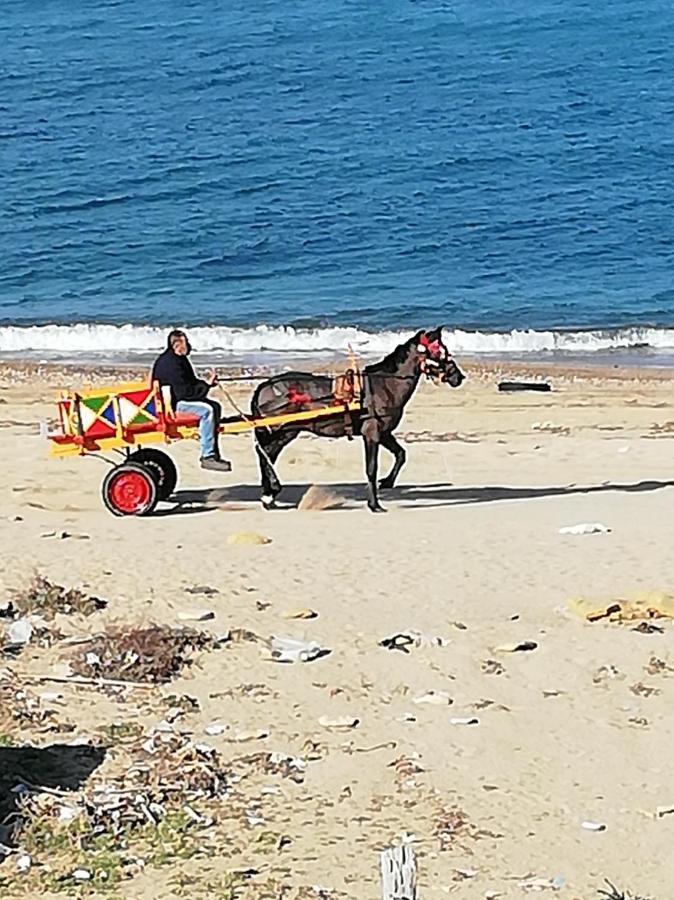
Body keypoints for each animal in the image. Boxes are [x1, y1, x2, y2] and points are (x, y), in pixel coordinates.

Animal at [248, 330, 462, 512]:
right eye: (439, 351)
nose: (459, 376)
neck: (384, 385)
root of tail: (265, 385)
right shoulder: (372, 433)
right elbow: (371, 468)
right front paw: (374, 504)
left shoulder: (384, 433)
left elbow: (401, 454)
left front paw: (387, 482)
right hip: (282, 429)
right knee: (264, 453)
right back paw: (271, 490)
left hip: (285, 432)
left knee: (267, 454)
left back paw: (269, 494)